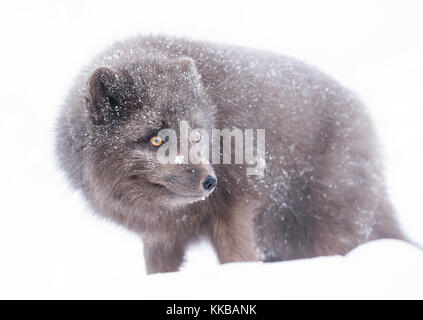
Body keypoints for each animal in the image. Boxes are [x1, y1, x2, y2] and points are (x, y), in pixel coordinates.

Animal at [55, 35, 404, 276]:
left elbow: (238, 257)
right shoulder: (159, 238)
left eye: (196, 134)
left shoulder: (235, 208)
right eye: (157, 139)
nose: (210, 182)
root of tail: (358, 108)